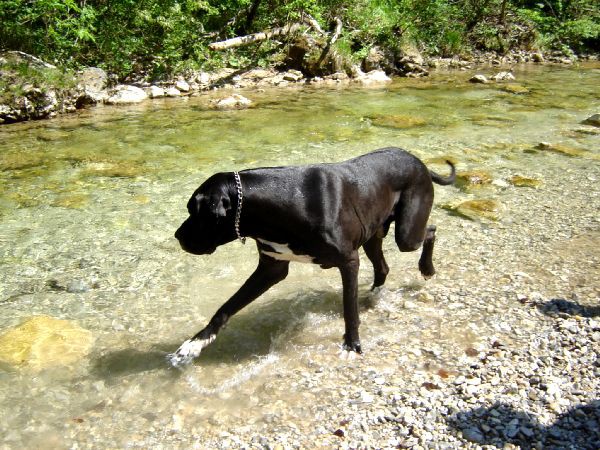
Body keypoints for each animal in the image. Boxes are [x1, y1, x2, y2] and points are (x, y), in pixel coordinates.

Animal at [169, 148, 454, 366]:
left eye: (195, 212)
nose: (177, 236)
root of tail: (418, 161)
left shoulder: (348, 262)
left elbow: (349, 309)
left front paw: (352, 345)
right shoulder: (271, 268)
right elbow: (226, 307)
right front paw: (196, 343)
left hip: (407, 234)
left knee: (430, 231)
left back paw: (427, 268)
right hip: (374, 235)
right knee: (383, 267)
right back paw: (374, 295)